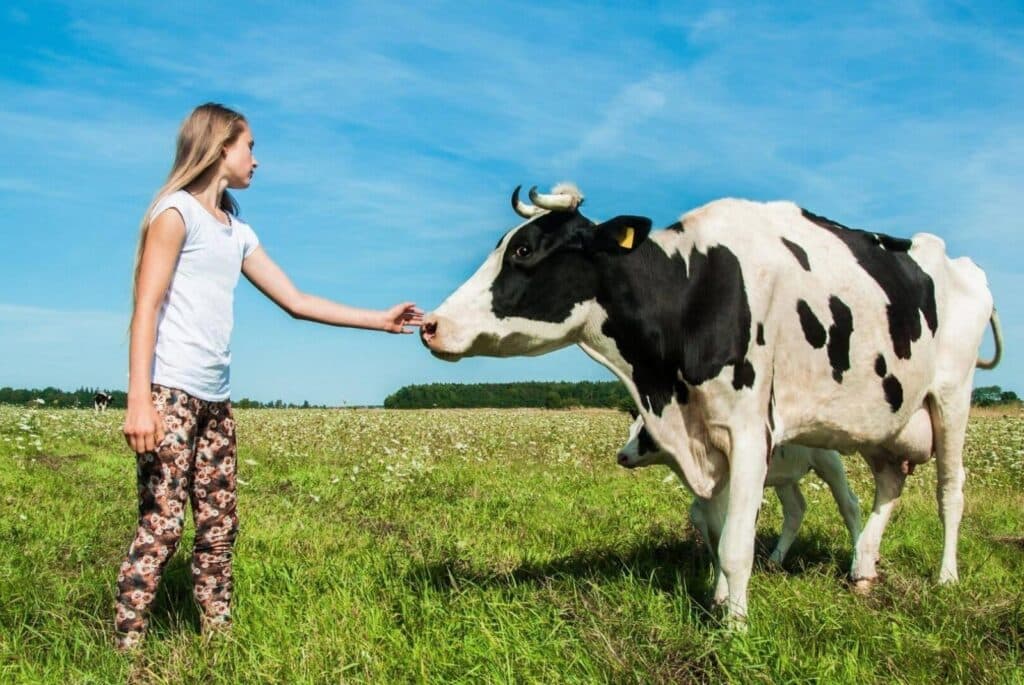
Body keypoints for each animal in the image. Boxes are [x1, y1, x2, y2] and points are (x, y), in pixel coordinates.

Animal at [618, 413, 860, 599]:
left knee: (849, 505)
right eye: (631, 429)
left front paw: (721, 594)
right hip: (784, 476)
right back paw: (774, 561)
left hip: (827, 460)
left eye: (646, 434)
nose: (621, 455)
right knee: (795, 509)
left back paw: (858, 568)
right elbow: (705, 524)